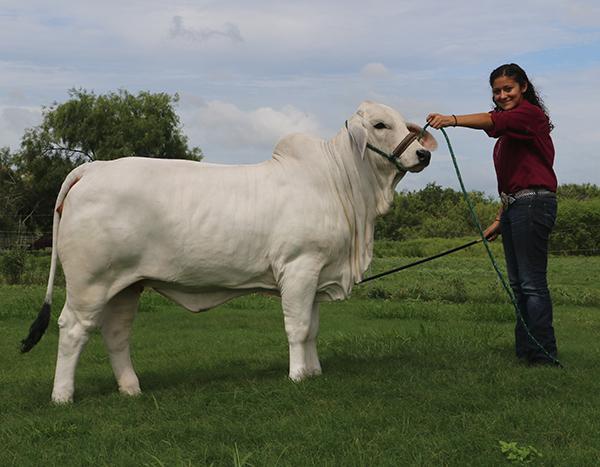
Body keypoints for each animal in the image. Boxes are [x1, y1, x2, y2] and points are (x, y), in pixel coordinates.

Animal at [22, 100, 436, 404]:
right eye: (380, 125)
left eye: (408, 126)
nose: (422, 155)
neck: (343, 186)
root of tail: (93, 169)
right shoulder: (299, 267)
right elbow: (298, 327)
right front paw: (298, 376)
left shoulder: (317, 274)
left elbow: (313, 328)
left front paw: (314, 370)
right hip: (89, 283)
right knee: (73, 329)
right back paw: (62, 396)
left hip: (126, 285)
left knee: (116, 333)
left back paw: (131, 388)